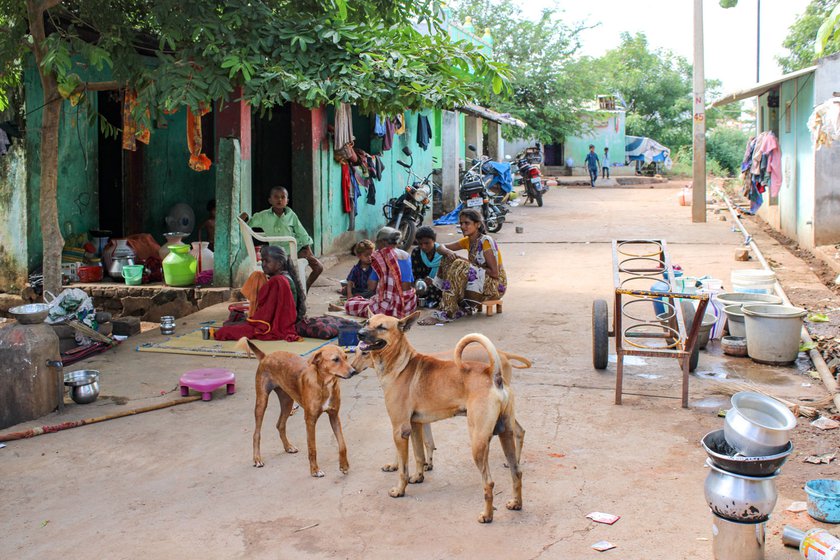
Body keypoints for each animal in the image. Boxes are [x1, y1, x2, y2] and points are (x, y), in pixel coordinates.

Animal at [243, 336, 360, 476]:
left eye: (346, 357)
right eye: (335, 359)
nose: (353, 372)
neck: (325, 384)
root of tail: (266, 356)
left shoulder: (334, 416)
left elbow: (342, 444)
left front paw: (344, 465)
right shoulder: (310, 420)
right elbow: (312, 447)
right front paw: (315, 470)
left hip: (287, 402)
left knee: (280, 425)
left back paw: (288, 447)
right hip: (262, 401)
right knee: (256, 433)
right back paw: (257, 458)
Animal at [356, 312, 524, 524]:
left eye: (382, 327)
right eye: (367, 322)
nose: (359, 333)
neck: (400, 364)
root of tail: (493, 374)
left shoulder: (400, 429)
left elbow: (403, 468)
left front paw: (400, 490)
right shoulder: (415, 425)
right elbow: (419, 455)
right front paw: (419, 476)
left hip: (478, 442)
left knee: (489, 482)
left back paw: (487, 515)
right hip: (505, 434)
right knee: (516, 472)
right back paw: (516, 503)